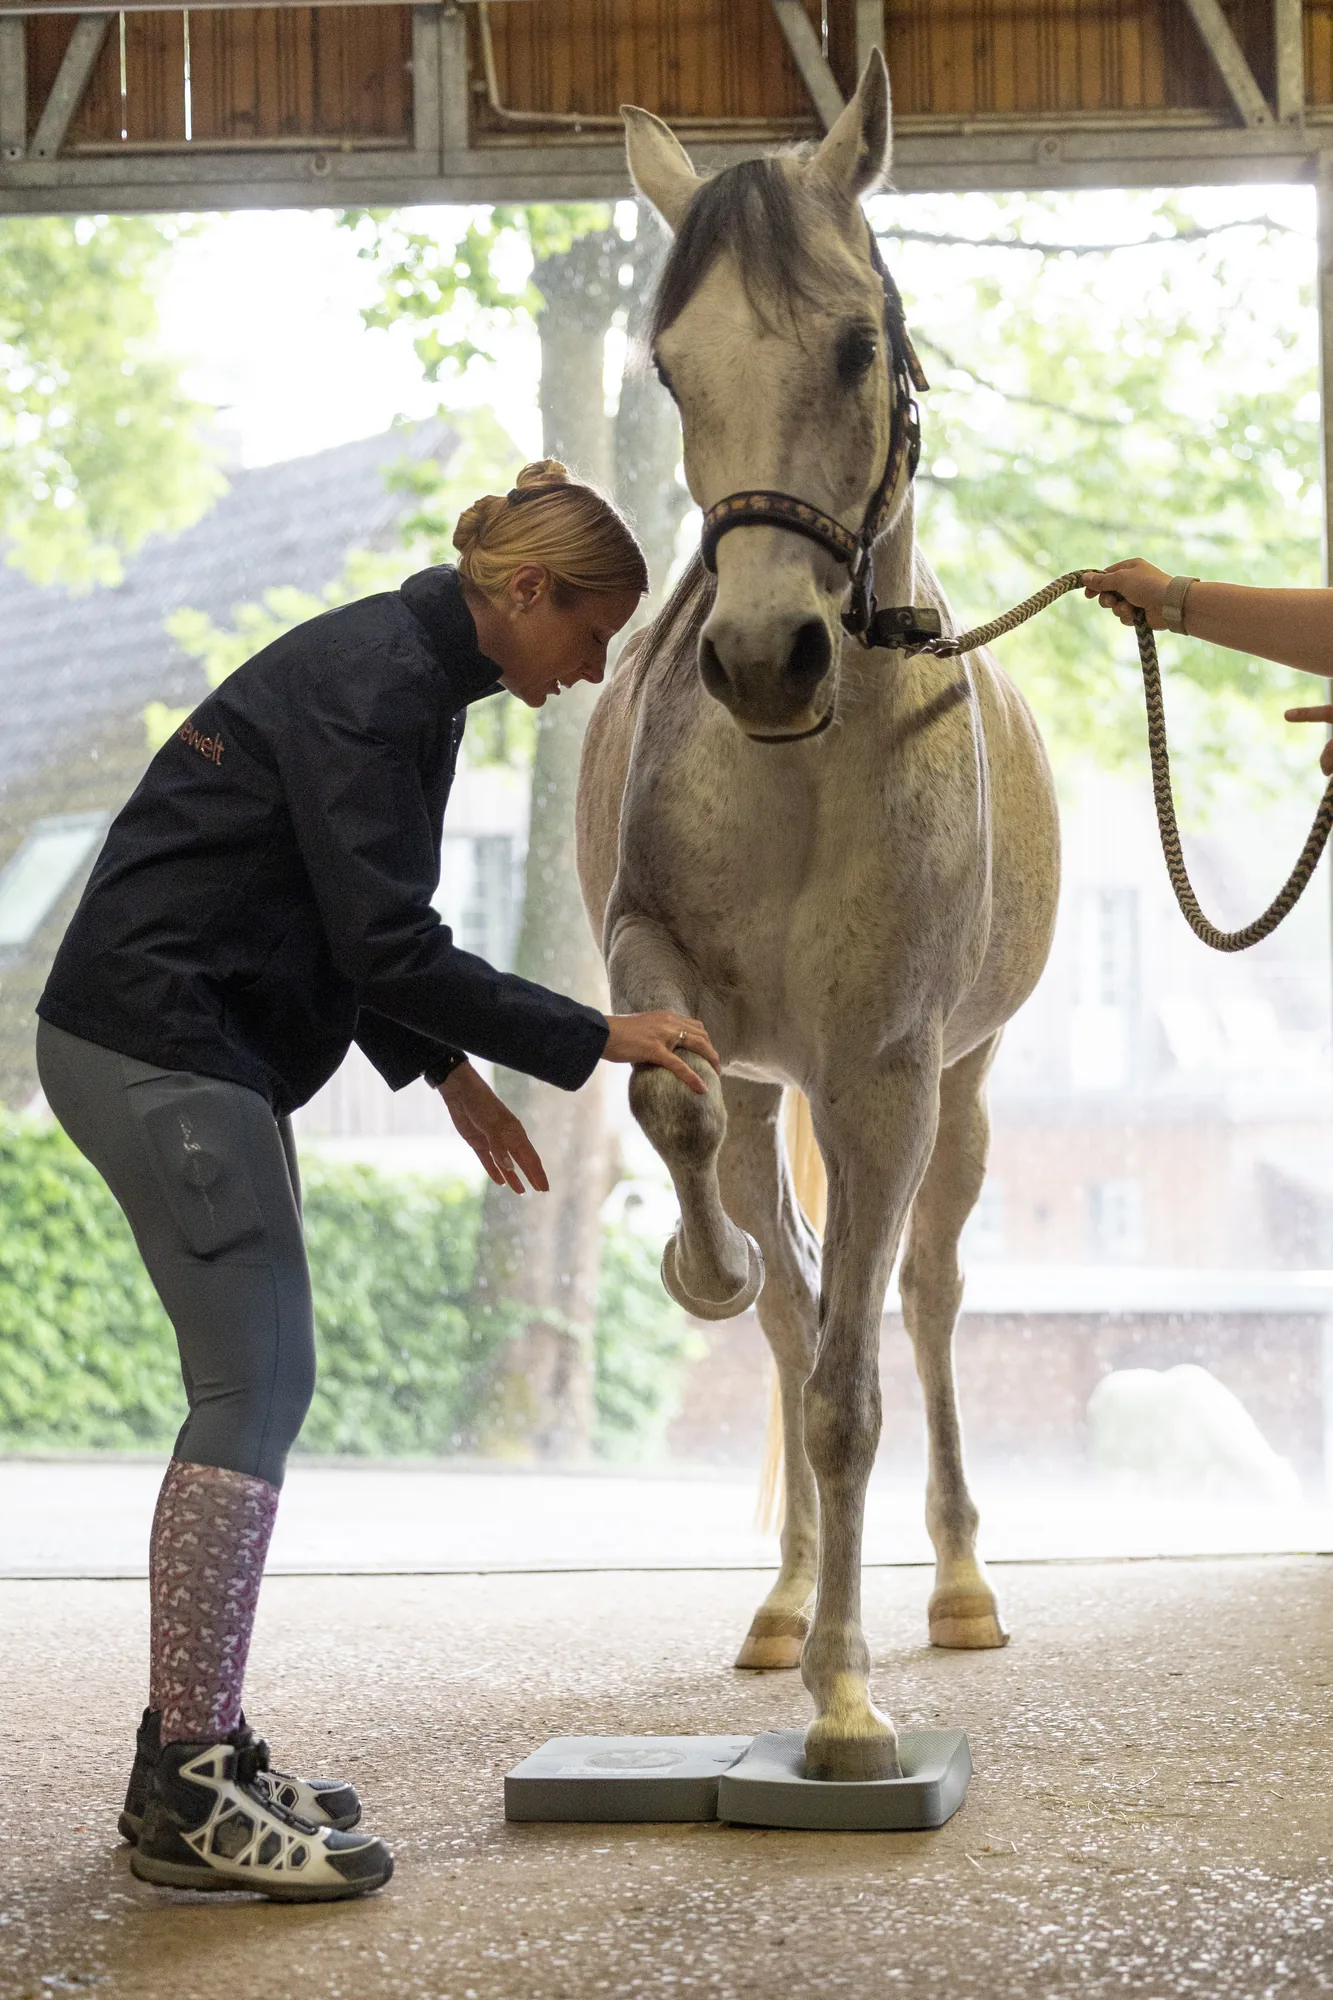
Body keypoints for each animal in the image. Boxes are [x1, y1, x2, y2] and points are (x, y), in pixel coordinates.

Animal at [575, 52, 1060, 1782]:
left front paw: (851, 1705)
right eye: (671, 368)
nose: (761, 654)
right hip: (777, 1086)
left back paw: (957, 1586)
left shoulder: (887, 1075)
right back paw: (782, 1602)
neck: (802, 768)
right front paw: (699, 1270)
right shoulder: (677, 988)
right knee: (789, 1312)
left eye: (858, 345)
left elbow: (856, 1383)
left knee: (917, 1301)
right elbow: (686, 1141)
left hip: (958, 1098)